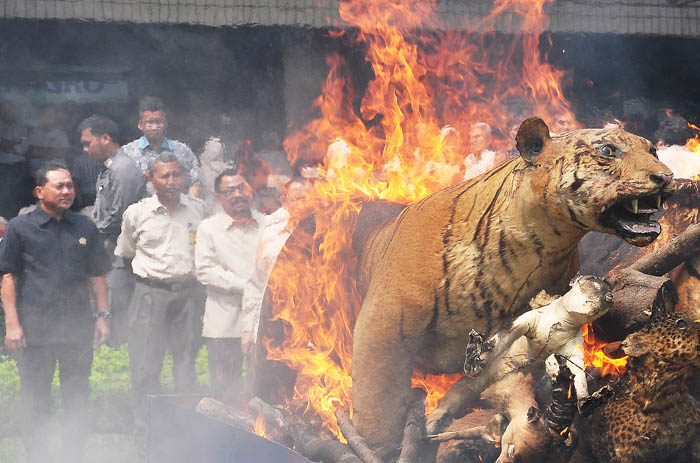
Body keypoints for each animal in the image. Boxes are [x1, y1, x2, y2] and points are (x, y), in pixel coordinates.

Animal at [352, 116, 676, 456]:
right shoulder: (383, 325)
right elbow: (375, 402)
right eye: (608, 150)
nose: (666, 176)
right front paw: (380, 447)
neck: (540, 246)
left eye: (652, 150)